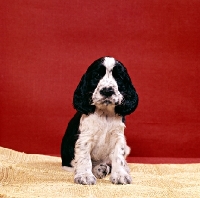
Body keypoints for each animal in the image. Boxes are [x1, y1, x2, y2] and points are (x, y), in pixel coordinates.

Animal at [61, 56, 138, 185]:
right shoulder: (85, 138)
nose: (107, 91)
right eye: (97, 75)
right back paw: (99, 169)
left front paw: (120, 175)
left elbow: (118, 157)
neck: (105, 113)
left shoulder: (118, 137)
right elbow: (84, 158)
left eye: (118, 77)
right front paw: (85, 176)